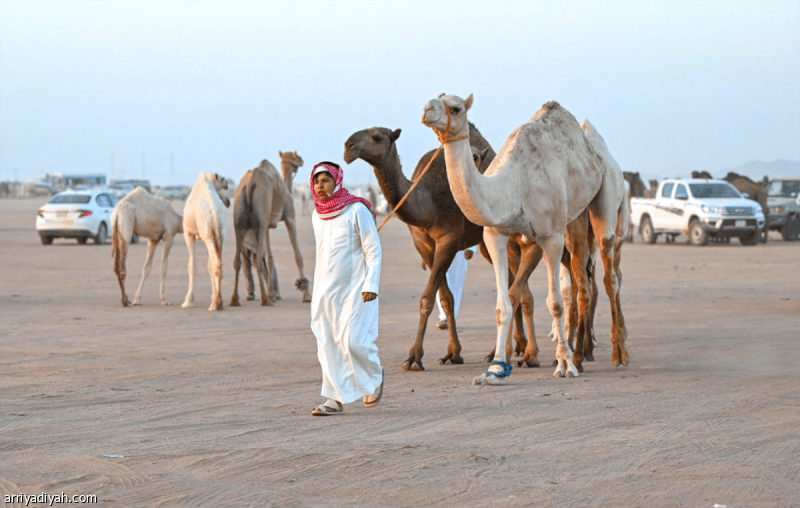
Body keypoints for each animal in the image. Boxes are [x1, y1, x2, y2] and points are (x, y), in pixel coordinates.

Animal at [181, 171, 231, 311]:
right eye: (223, 180)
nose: (228, 201)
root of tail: (214, 212)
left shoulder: (188, 233)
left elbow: (192, 265)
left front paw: (188, 301)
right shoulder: (210, 236)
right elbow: (209, 266)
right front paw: (212, 296)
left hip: (207, 234)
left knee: (216, 264)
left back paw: (215, 304)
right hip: (220, 234)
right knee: (218, 264)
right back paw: (218, 302)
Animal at [230, 158, 311, 307]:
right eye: (295, 157)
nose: (302, 161)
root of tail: (250, 183)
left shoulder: (268, 224)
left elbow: (269, 258)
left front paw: (272, 294)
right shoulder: (290, 217)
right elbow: (298, 255)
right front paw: (306, 293)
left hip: (239, 213)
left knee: (238, 261)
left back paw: (235, 300)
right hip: (261, 216)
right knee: (257, 261)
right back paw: (265, 300)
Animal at [344, 125, 539, 371]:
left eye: (377, 137)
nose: (348, 147)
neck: (428, 202)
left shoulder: (448, 240)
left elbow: (427, 298)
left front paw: (414, 357)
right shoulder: (424, 246)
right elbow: (446, 299)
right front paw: (452, 353)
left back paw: (510, 351)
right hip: (486, 242)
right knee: (512, 281)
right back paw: (515, 347)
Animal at [422, 94, 629, 384]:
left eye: (456, 108)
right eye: (436, 99)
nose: (427, 110)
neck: (513, 185)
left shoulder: (550, 237)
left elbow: (555, 303)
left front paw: (565, 365)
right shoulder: (496, 236)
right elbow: (503, 305)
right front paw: (496, 368)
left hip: (606, 197)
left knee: (610, 275)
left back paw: (616, 353)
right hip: (574, 218)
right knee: (584, 283)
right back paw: (582, 354)